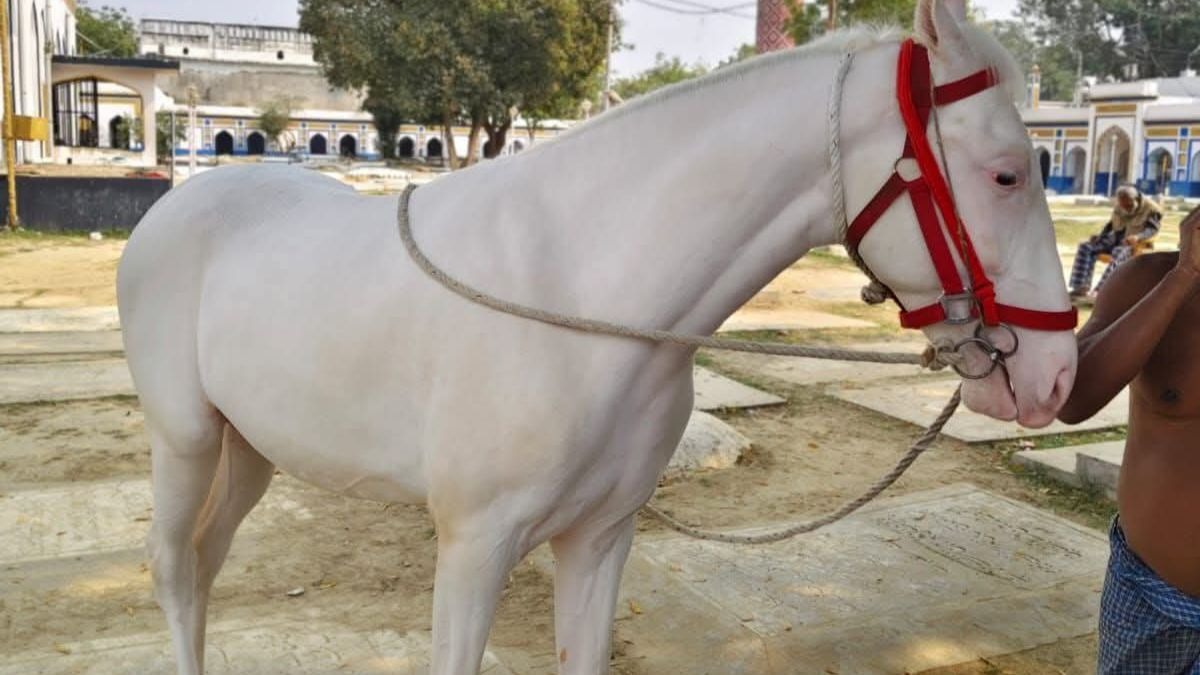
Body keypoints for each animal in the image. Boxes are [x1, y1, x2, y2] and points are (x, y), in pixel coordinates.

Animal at [117, 1, 1077, 672]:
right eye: (1005, 172)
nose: (1057, 379)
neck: (583, 290)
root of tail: (179, 203)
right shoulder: (473, 548)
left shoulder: (601, 538)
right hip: (186, 439)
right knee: (172, 571)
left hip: (252, 448)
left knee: (205, 563)